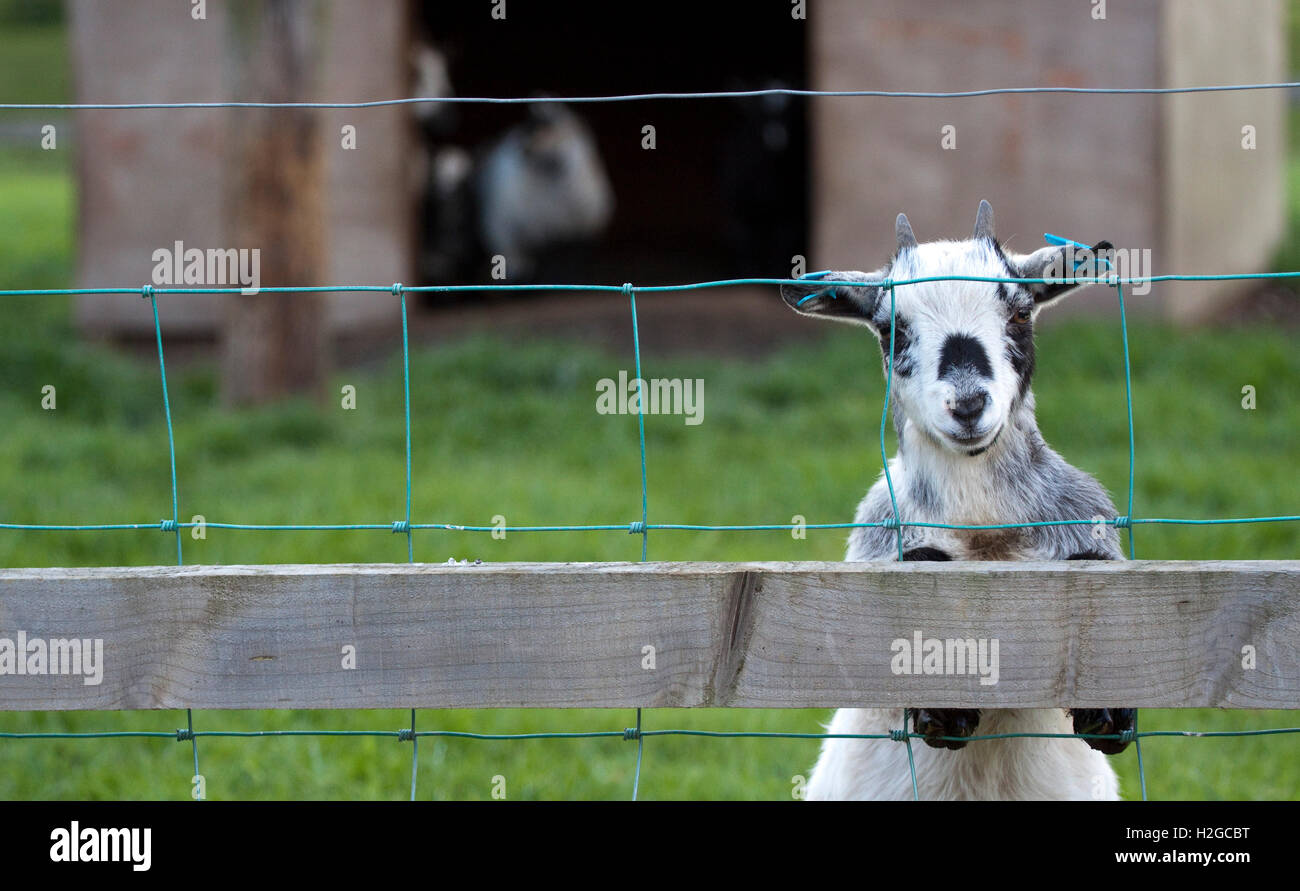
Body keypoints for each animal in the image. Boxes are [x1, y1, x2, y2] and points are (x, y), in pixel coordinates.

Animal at [780, 201, 1135, 800]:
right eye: (893, 329)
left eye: (1020, 315)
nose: (968, 404)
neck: (981, 528)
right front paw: (946, 712)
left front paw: (1108, 713)